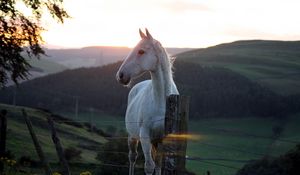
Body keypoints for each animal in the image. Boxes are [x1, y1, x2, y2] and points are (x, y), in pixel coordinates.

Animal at [116, 29, 179, 175]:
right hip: (132, 137)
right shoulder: (144, 135)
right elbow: (149, 166)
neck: (162, 102)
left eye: (141, 51)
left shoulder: (162, 139)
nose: (120, 75)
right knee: (132, 158)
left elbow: (158, 166)